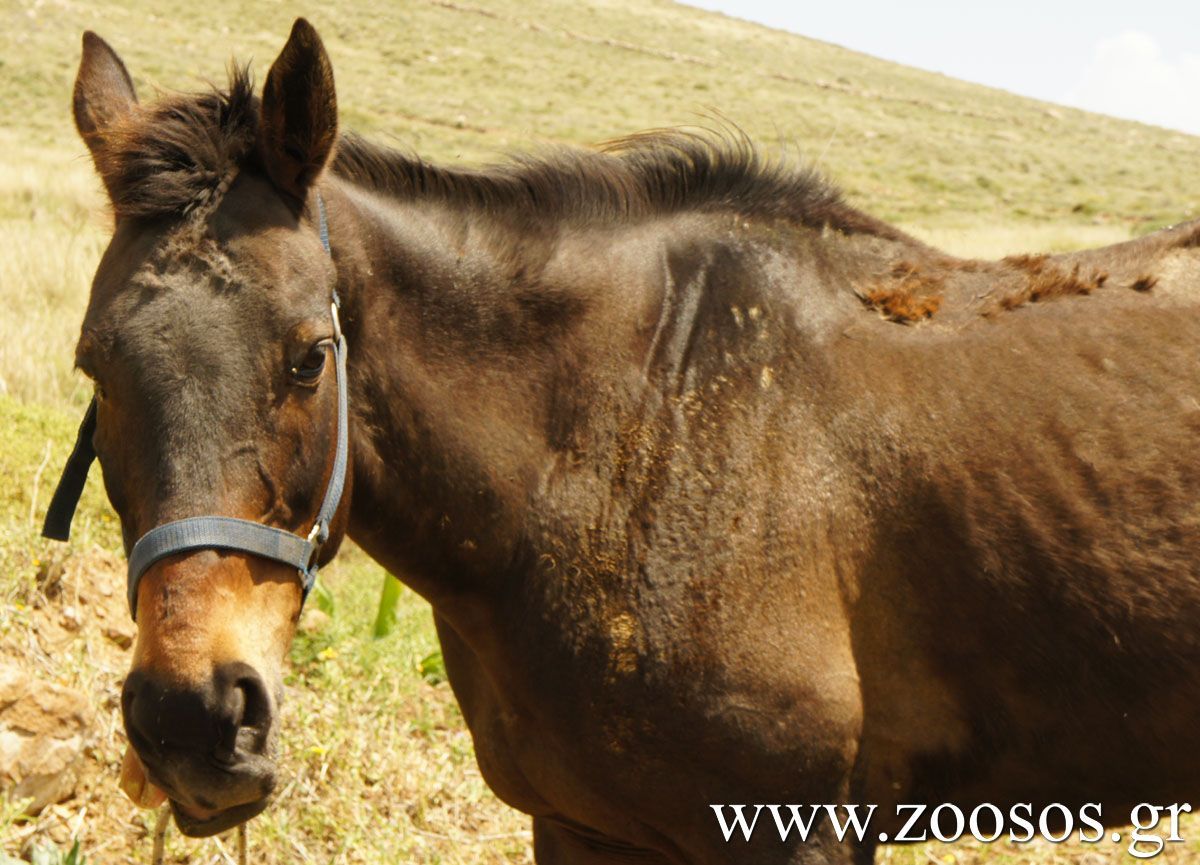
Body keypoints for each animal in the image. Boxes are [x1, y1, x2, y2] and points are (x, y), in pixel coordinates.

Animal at [54, 15, 1200, 863]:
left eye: (309, 356)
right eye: (94, 367)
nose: (193, 721)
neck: (633, 429)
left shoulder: (798, 830)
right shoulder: (581, 824)